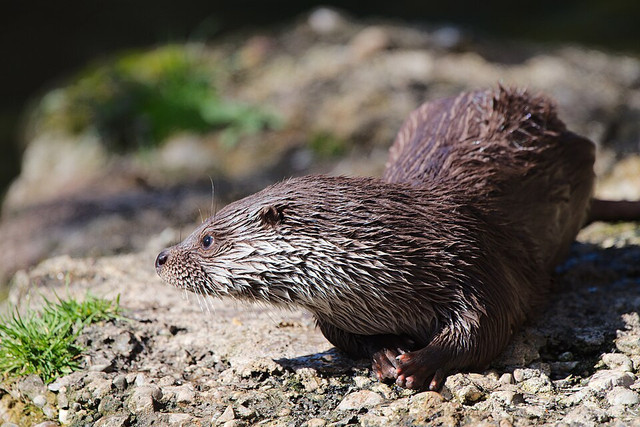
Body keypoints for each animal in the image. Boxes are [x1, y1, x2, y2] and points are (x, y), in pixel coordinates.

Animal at [155, 87, 639, 390]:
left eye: (207, 238)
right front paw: (386, 351)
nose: (160, 257)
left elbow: (487, 326)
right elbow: (344, 337)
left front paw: (420, 363)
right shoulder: (335, 311)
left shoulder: (475, 258)